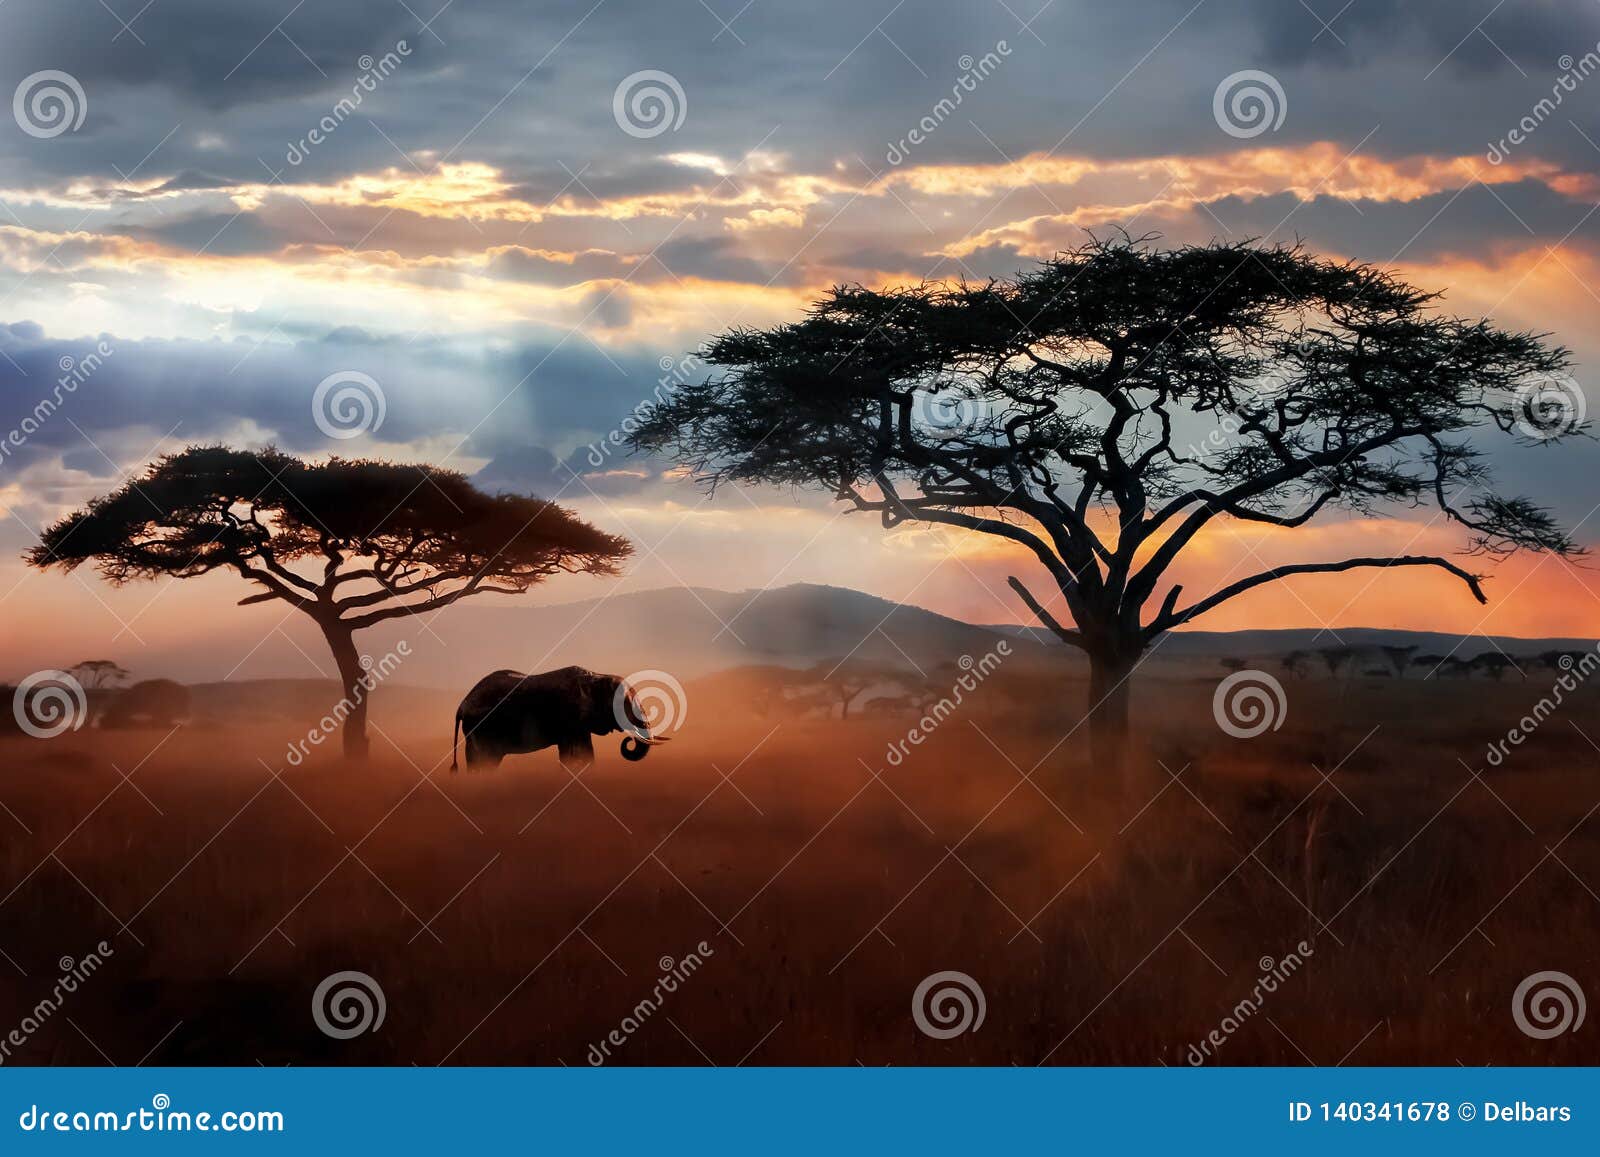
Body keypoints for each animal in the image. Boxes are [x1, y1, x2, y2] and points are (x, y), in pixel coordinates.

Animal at [451, 665, 668, 774]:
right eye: (624, 705)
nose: (629, 739)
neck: (597, 677)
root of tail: (461, 705)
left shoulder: (580, 724)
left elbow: (587, 753)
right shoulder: (570, 718)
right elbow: (571, 754)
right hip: (481, 728)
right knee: (483, 760)